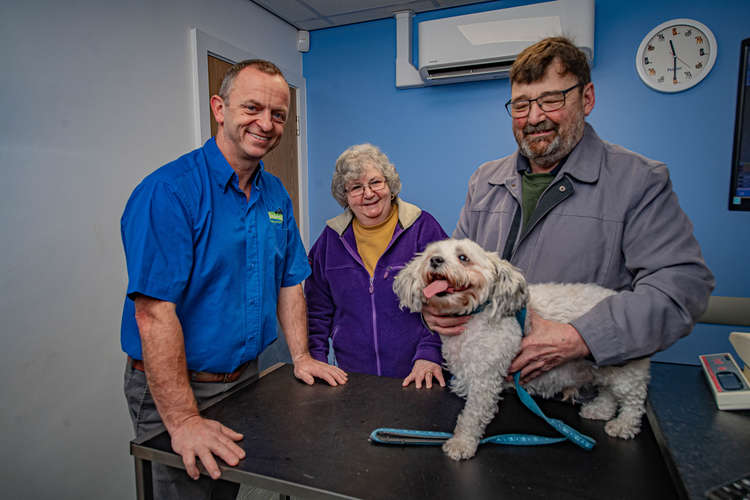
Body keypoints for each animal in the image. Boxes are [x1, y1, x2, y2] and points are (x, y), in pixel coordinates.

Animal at [394, 238, 652, 460]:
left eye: (463, 257)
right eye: (432, 254)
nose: (435, 260)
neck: (474, 316)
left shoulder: (485, 380)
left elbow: (472, 415)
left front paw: (462, 443)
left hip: (627, 371)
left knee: (634, 401)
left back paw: (624, 425)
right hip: (605, 368)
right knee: (609, 393)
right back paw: (600, 410)